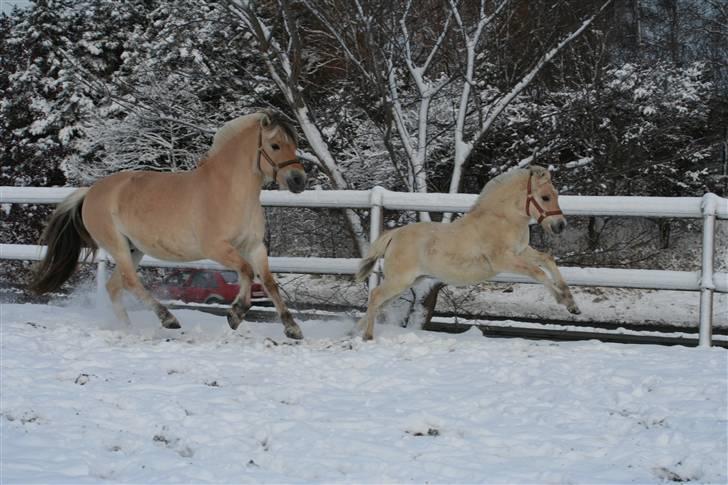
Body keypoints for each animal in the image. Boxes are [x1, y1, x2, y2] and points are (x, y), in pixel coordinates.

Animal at [30, 110, 308, 338]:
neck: (230, 192)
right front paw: (235, 314)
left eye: (294, 145)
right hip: (118, 246)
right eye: (275, 145)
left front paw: (292, 328)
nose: (298, 181)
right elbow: (247, 272)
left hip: (134, 249)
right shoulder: (216, 248)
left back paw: (128, 329)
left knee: (114, 287)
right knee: (131, 283)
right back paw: (168, 319)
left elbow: (269, 282)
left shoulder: (254, 246)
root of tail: (90, 192)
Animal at [356, 166, 580, 340]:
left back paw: (356, 331)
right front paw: (563, 300)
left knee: (378, 303)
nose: (560, 225)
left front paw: (572, 304)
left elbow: (547, 260)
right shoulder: (503, 260)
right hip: (399, 281)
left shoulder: (522, 251)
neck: (502, 219)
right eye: (545, 197)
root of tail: (394, 235)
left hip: (407, 282)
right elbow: (537, 272)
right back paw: (367, 336)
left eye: (556, 195)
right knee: (375, 296)